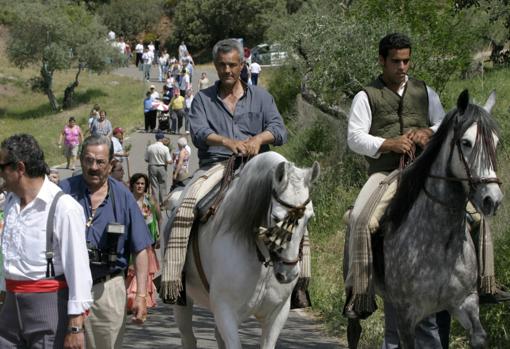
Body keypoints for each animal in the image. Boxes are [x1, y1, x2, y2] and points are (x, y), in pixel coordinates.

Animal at [172, 152, 318, 348]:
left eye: (309, 218)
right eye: (276, 217)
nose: (288, 274)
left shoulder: (277, 314)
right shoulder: (225, 311)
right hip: (184, 300)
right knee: (188, 337)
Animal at [348, 90, 500, 348]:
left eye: (496, 143)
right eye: (466, 143)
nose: (493, 200)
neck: (441, 241)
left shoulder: (464, 303)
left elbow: (477, 336)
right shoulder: (407, 315)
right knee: (354, 328)